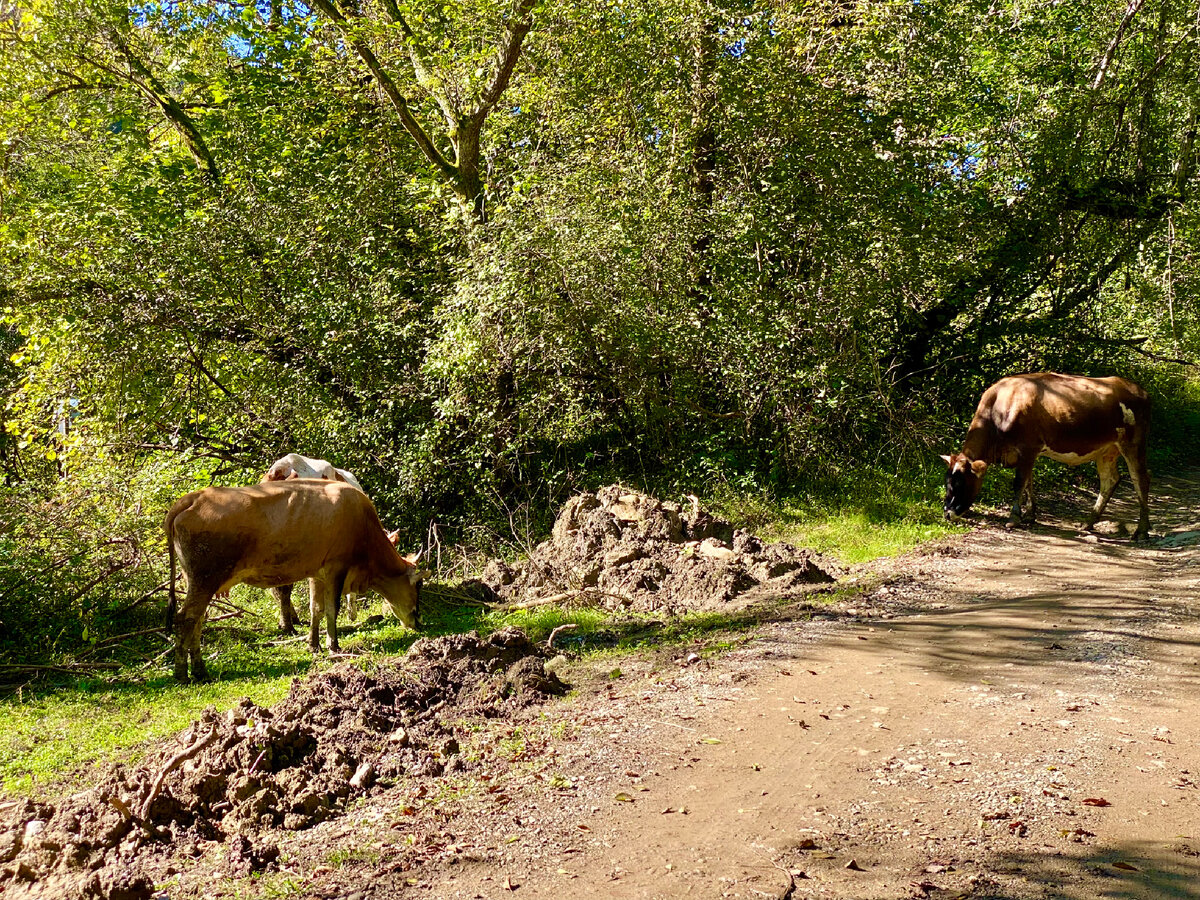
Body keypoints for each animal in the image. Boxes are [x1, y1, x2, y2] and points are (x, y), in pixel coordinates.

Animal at [166, 480, 424, 681]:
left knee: (197, 621)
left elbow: (315, 608)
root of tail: (193, 497)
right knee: (186, 618)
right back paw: (182, 673)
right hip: (205, 578)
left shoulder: (317, 573)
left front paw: (314, 644)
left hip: (197, 580)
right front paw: (333, 646)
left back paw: (199, 670)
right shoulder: (337, 567)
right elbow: (332, 608)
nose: (418, 620)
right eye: (418, 584)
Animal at [940, 374, 1147, 542]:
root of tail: (1137, 388)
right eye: (947, 482)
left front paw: (1014, 518)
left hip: (1133, 444)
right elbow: (1029, 483)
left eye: (962, 483)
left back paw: (1141, 531)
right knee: (1109, 480)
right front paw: (1030, 515)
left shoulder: (1028, 448)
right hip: (1106, 451)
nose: (947, 513)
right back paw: (1088, 523)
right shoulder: (1026, 454)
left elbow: (1019, 483)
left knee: (1140, 479)